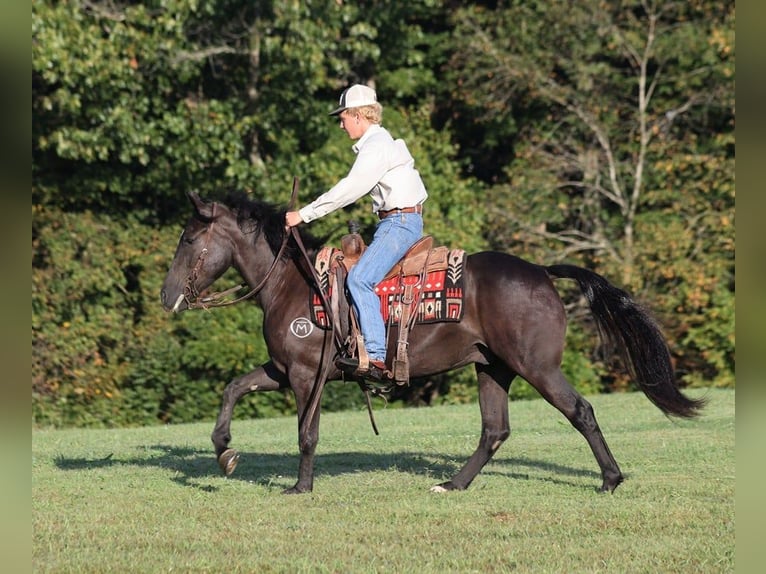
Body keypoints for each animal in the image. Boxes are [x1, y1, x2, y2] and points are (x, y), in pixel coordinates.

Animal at [160, 190, 705, 494]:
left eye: (188, 239)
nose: (167, 295)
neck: (293, 283)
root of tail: (540, 271)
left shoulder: (303, 376)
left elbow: (306, 433)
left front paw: (300, 486)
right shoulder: (279, 370)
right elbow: (233, 388)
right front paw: (224, 452)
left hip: (537, 367)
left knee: (581, 412)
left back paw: (610, 479)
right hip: (492, 368)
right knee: (494, 431)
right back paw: (453, 484)